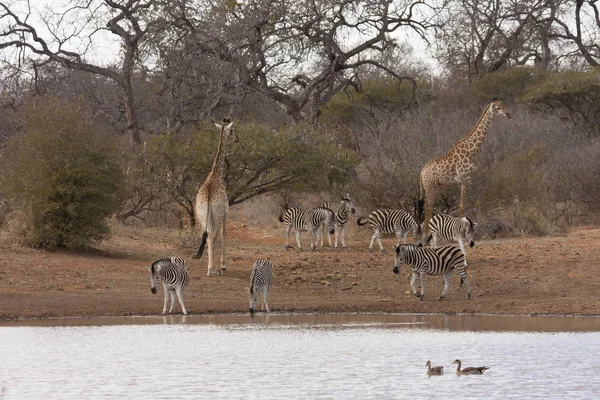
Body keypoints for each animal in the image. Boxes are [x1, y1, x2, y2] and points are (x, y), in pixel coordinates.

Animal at [193, 117, 238, 276]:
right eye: (233, 131)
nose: (237, 139)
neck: (215, 174)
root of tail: (207, 199)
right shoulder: (226, 212)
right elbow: (224, 234)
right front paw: (223, 265)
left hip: (201, 215)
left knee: (207, 235)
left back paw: (210, 268)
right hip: (216, 215)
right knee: (214, 235)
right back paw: (215, 269)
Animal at [418, 99, 510, 236]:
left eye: (503, 105)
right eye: (498, 108)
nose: (509, 114)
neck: (471, 152)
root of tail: (421, 172)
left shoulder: (469, 181)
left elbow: (470, 204)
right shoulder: (465, 181)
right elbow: (462, 206)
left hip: (435, 187)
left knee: (429, 207)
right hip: (429, 186)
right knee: (428, 207)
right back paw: (425, 235)